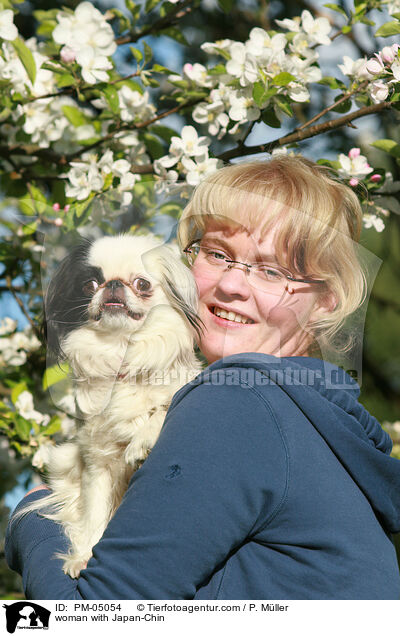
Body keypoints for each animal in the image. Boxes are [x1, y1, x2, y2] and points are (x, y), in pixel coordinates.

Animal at [20, 232, 202, 576]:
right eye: (90, 284)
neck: (121, 350)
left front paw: (141, 442)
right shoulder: (97, 462)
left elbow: (162, 408)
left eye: (142, 284)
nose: (114, 284)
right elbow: (94, 512)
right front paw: (82, 557)